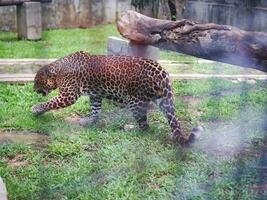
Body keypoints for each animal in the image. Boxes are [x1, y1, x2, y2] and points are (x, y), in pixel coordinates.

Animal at [32, 50, 196, 146]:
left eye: (37, 81)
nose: (33, 89)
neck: (58, 71)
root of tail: (162, 71)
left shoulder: (68, 95)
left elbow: (50, 103)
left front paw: (36, 109)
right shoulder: (96, 95)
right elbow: (95, 110)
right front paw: (90, 121)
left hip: (134, 101)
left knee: (145, 126)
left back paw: (130, 129)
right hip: (162, 100)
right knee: (170, 120)